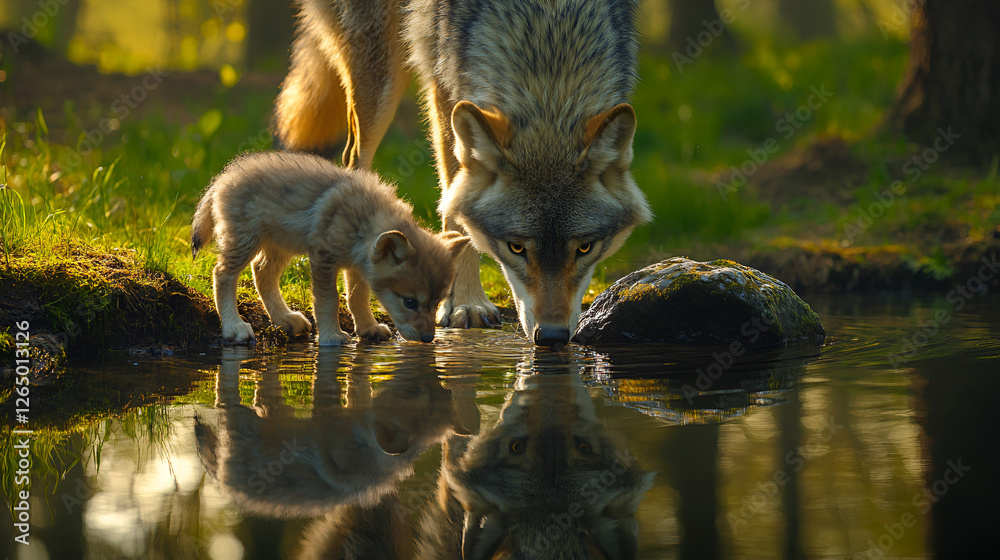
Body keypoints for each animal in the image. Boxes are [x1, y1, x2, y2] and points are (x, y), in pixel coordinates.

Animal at [190, 151, 470, 345]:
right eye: (410, 302)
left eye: (437, 302)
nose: (429, 339)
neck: (364, 220)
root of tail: (223, 177)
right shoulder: (323, 258)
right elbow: (330, 301)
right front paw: (332, 337)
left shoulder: (359, 267)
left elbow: (357, 297)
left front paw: (368, 329)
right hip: (245, 240)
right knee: (222, 274)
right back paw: (234, 327)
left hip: (281, 244)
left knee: (261, 272)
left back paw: (285, 320)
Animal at [273, 0, 652, 346]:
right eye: (516, 248)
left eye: (585, 248)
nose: (553, 336)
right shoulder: (448, 86)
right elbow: (457, 211)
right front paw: (465, 305)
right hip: (381, 69)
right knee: (354, 157)